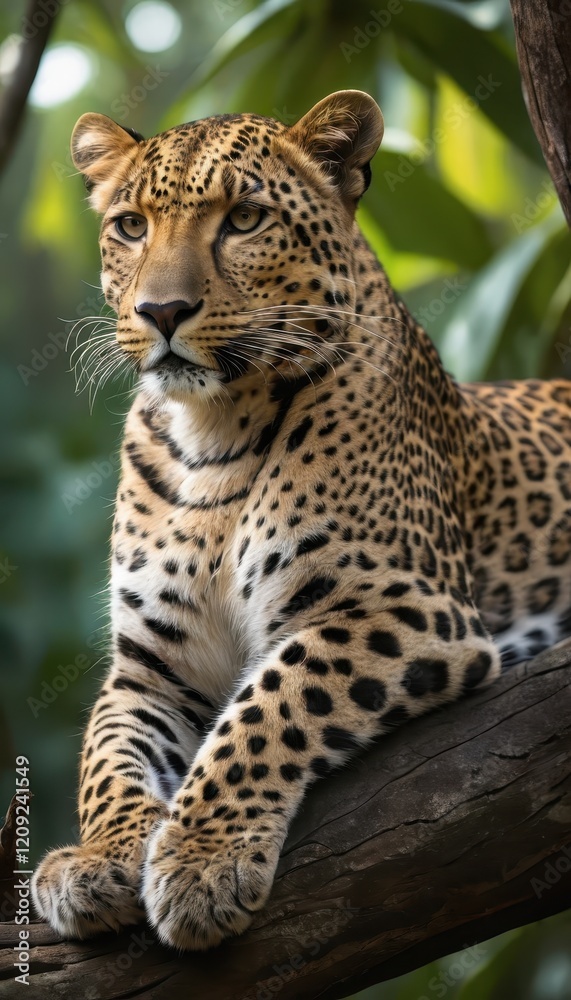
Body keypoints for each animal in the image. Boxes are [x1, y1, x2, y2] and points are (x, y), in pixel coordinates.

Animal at [32, 90, 571, 951]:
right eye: (130, 226)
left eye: (245, 219)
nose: (161, 311)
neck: (210, 437)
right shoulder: (152, 666)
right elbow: (107, 754)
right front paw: (98, 859)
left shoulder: (403, 605)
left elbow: (271, 705)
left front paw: (202, 861)